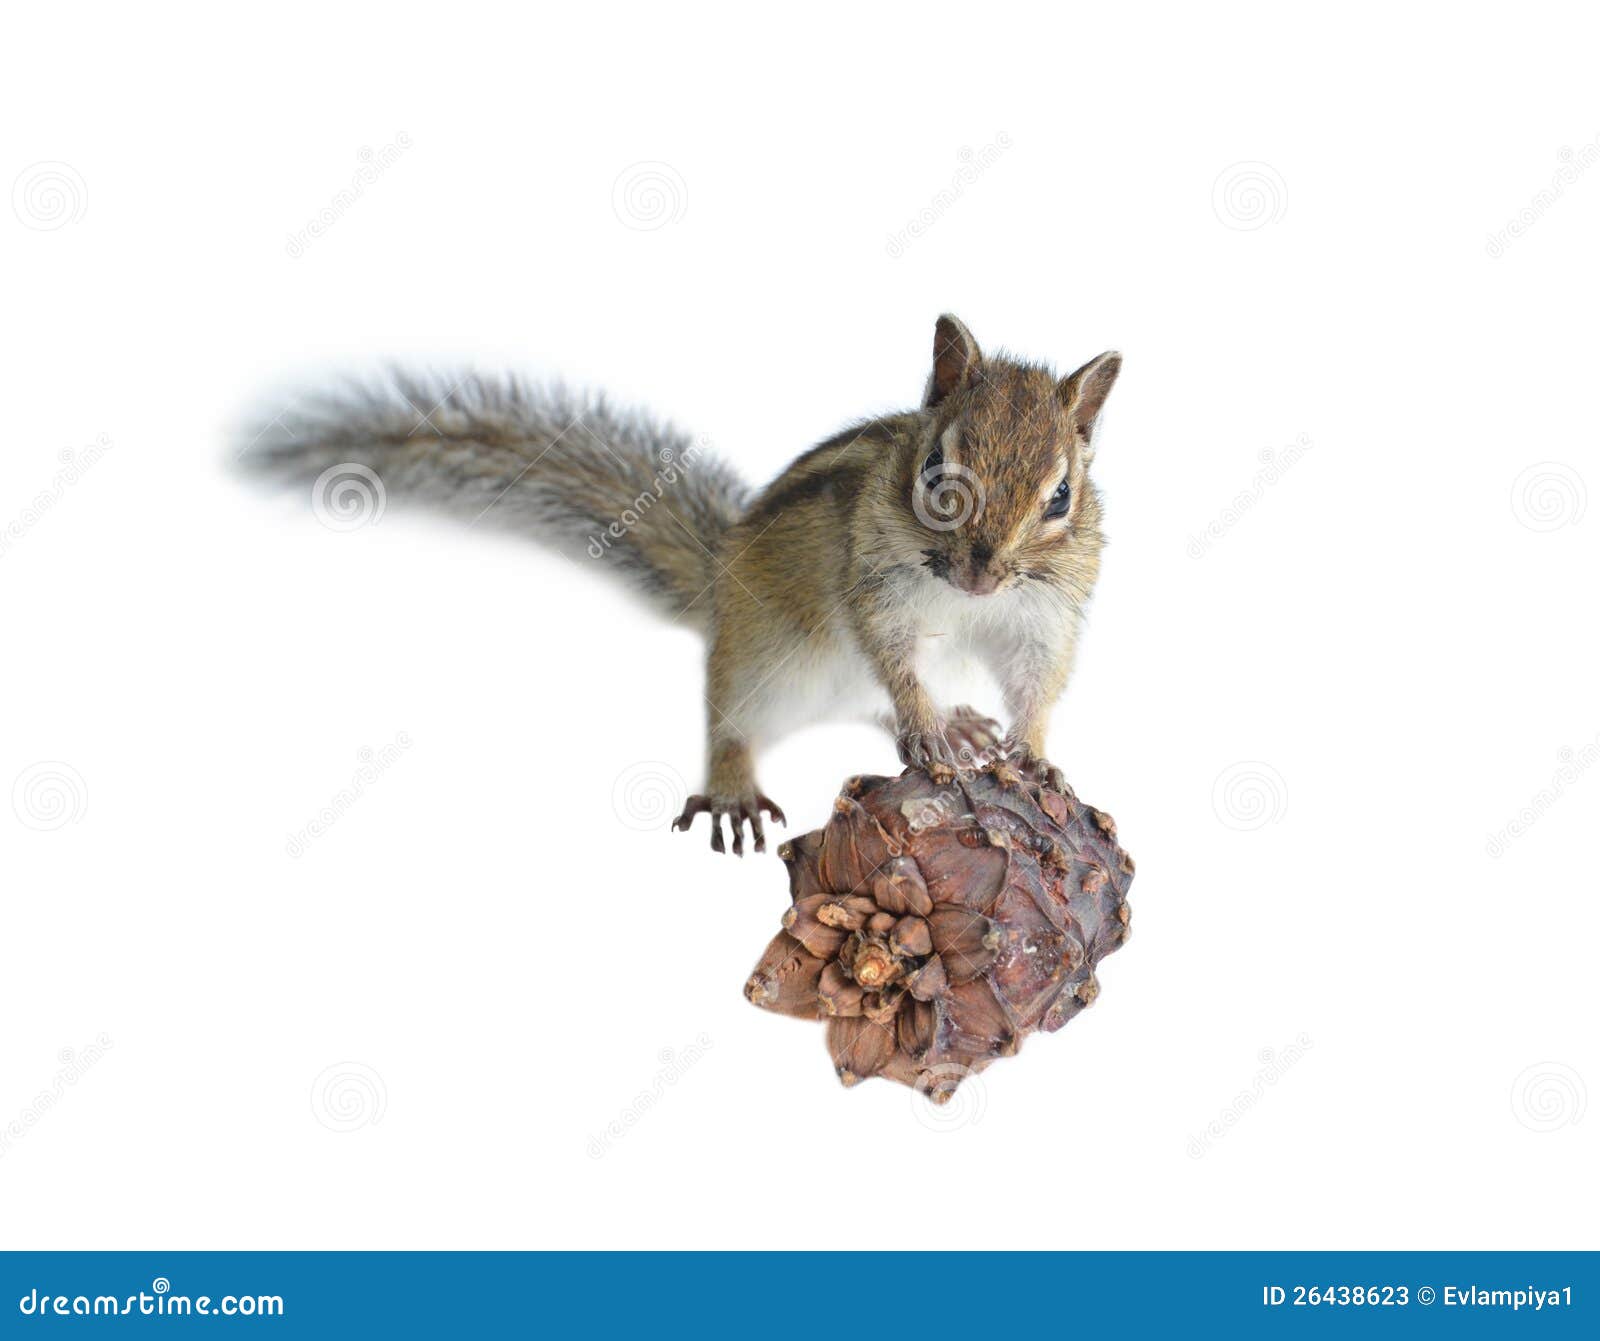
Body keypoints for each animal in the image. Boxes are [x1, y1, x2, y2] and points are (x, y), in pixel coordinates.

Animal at [242, 315, 1121, 856]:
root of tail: (719, 573)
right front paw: (925, 718)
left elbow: (1038, 682)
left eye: (1060, 497)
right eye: (938, 472)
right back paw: (736, 787)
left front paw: (1033, 753)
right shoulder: (876, 587)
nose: (982, 568)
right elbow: (893, 660)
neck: (966, 601)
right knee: (732, 722)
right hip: (762, 659)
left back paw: (960, 722)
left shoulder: (1046, 615)